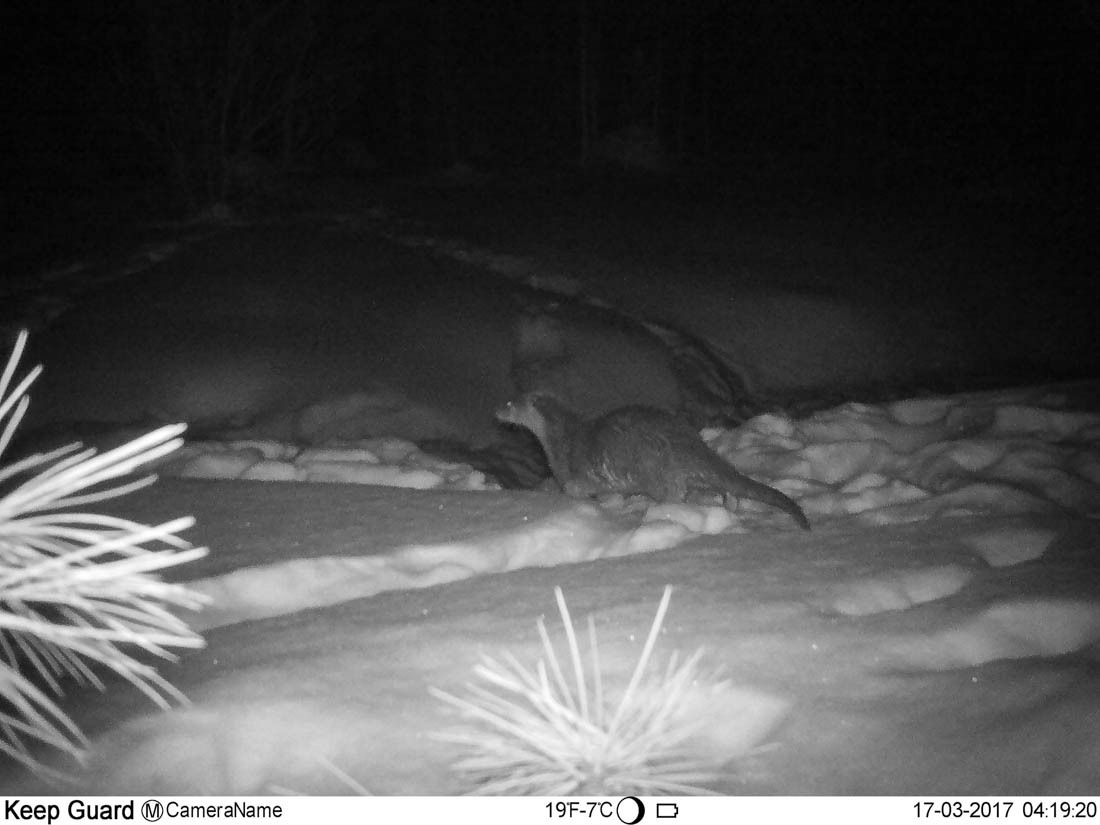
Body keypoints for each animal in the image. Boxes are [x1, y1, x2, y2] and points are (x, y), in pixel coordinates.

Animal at [497, 391, 809, 532]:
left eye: (511, 403)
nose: (496, 410)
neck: (559, 439)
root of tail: (686, 440)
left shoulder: (574, 475)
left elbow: (576, 490)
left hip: (654, 469)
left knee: (676, 493)